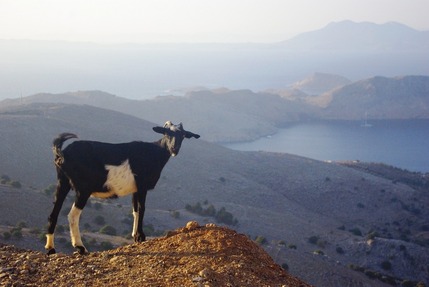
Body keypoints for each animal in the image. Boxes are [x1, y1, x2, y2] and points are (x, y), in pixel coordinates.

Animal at [45, 121, 199, 254]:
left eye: (183, 135)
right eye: (167, 133)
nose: (174, 149)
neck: (153, 153)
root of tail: (63, 153)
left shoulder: (135, 189)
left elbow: (135, 210)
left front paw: (136, 236)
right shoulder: (142, 186)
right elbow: (142, 209)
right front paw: (141, 236)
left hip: (63, 183)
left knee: (54, 214)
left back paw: (51, 249)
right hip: (83, 189)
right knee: (72, 215)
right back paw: (80, 247)